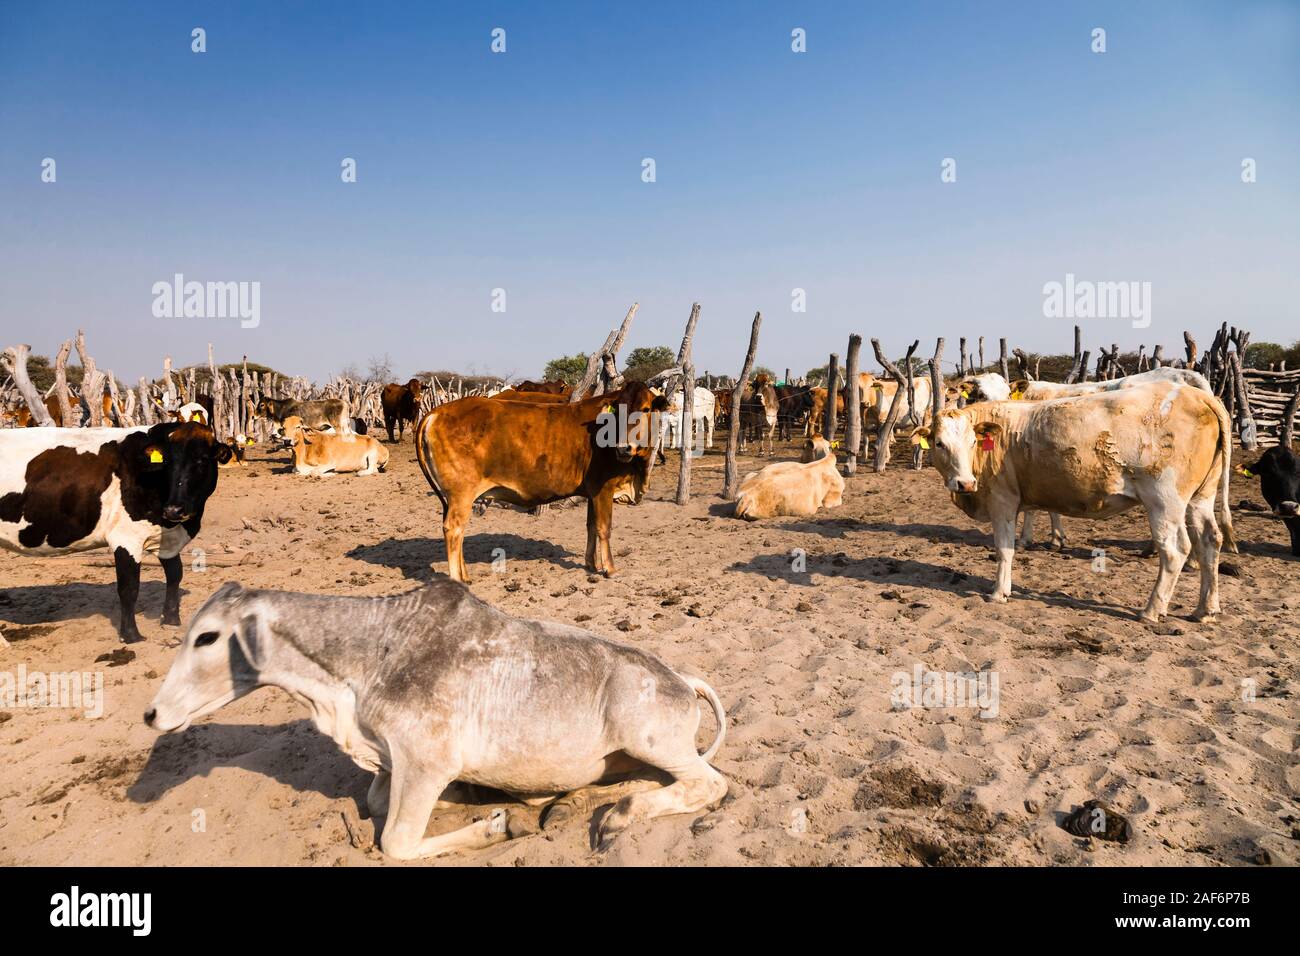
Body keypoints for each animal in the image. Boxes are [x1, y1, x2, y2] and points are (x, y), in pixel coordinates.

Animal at [0, 421, 231, 639]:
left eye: (202, 460)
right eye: (167, 463)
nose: (174, 509)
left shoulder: (166, 538)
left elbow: (175, 574)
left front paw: (171, 620)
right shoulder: (126, 537)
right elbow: (129, 588)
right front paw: (130, 635)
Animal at [149, 580, 733, 863]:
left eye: (207, 637)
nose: (153, 713)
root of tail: (681, 678)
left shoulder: (425, 761)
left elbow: (395, 842)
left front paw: (495, 824)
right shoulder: (393, 763)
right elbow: (374, 802)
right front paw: (470, 801)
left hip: (649, 737)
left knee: (709, 784)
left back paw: (618, 815)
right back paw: (569, 805)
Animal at [416, 382, 670, 582]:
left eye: (646, 409)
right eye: (617, 411)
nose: (623, 448)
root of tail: (436, 412)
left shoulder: (592, 491)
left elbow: (590, 526)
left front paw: (591, 564)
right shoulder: (603, 489)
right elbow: (603, 528)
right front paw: (610, 568)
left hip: (452, 498)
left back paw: (465, 575)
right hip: (461, 494)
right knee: (454, 529)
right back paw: (457, 579)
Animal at [909, 382, 1232, 629]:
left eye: (972, 442)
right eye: (939, 443)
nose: (964, 483)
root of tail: (1197, 395)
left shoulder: (1002, 500)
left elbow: (1004, 549)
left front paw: (999, 592)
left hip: (1164, 500)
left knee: (1175, 550)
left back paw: (1151, 610)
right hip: (1201, 497)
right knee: (1209, 541)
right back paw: (1205, 609)